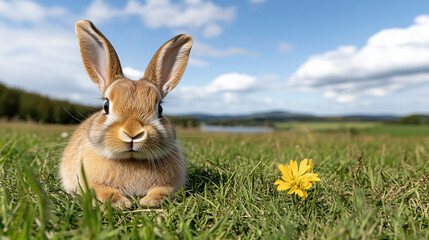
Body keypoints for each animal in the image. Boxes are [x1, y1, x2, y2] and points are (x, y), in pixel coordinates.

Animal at [59, 20, 192, 208]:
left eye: (160, 109)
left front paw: (149, 201)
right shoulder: (90, 183)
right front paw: (120, 203)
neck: (131, 160)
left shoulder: (172, 185)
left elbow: (164, 190)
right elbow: (102, 190)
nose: (133, 133)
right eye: (106, 105)